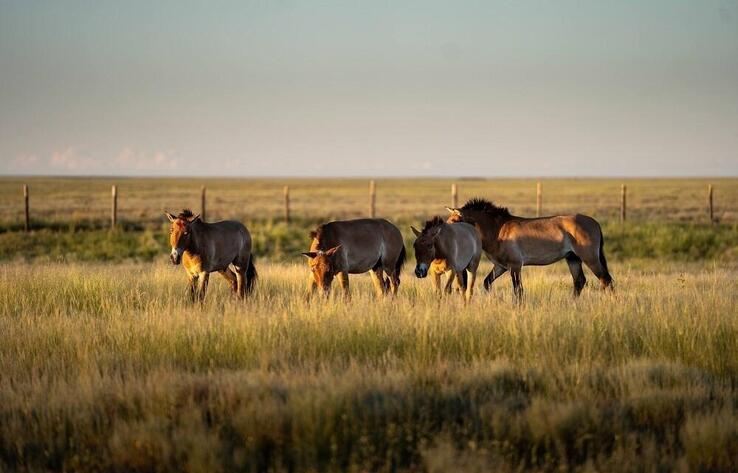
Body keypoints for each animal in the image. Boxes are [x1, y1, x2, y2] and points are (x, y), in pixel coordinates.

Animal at [446, 198, 613, 301]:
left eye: (454, 220)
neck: (498, 230)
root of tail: (595, 223)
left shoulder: (515, 266)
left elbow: (518, 290)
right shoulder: (501, 266)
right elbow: (487, 283)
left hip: (590, 258)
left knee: (606, 280)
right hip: (572, 258)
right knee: (579, 281)